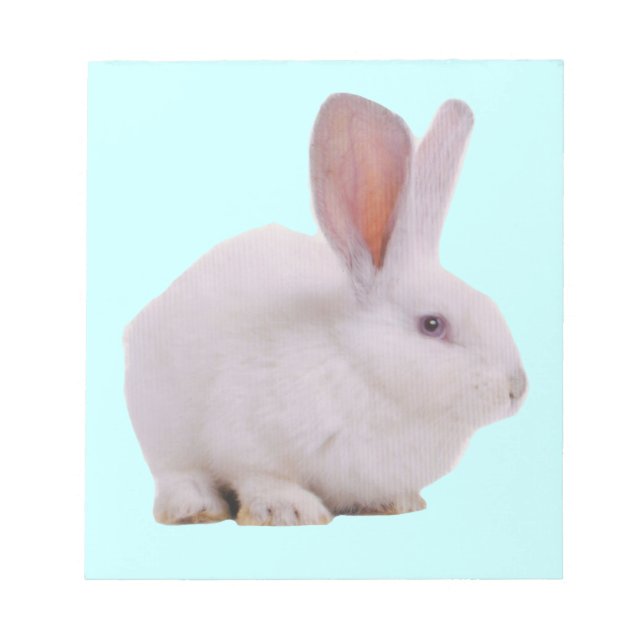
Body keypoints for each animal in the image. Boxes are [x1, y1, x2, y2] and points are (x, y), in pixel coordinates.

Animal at [123, 93, 527, 526]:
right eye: (432, 324)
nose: (517, 388)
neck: (361, 368)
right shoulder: (244, 438)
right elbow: (261, 476)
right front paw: (289, 509)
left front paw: (395, 503)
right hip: (160, 424)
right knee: (176, 473)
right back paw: (195, 507)